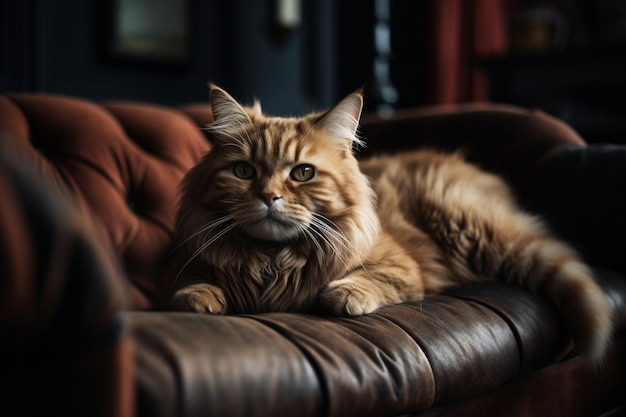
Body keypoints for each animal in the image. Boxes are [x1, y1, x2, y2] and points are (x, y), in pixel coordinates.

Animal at [169, 84, 608, 360]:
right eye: (243, 171)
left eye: (303, 173)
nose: (268, 197)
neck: (274, 259)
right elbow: (192, 282)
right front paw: (200, 297)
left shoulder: (404, 267)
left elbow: (368, 280)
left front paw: (343, 294)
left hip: (478, 234)